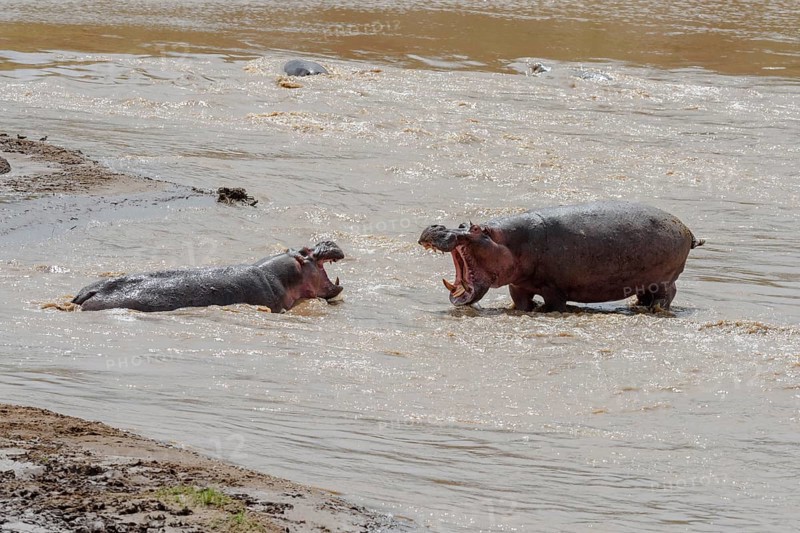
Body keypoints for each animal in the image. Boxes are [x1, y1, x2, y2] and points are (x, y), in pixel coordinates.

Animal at [418, 202, 704, 312]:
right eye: (462, 224)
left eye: (476, 229)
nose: (437, 227)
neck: (506, 241)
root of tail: (687, 230)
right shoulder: (518, 285)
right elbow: (520, 302)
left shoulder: (553, 288)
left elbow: (554, 304)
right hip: (645, 282)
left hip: (664, 280)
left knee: (668, 295)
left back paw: (656, 309)